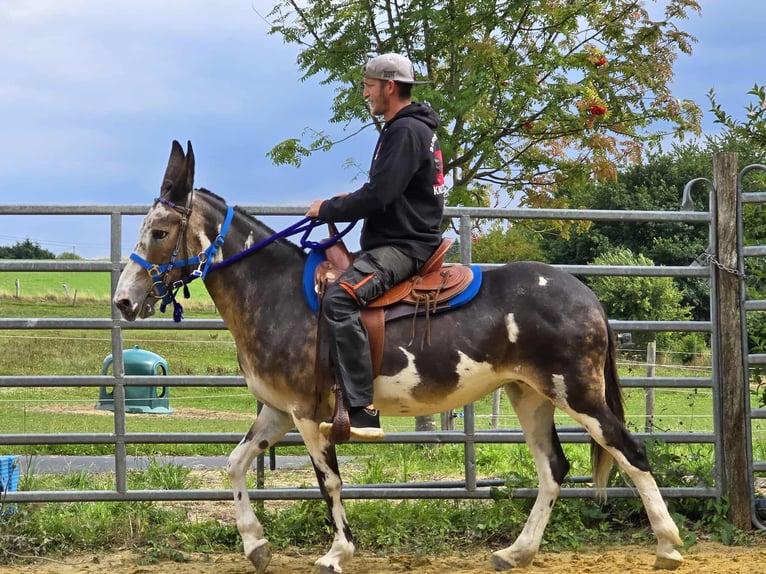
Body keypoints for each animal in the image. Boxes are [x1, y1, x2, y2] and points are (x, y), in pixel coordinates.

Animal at [113, 140, 684, 573]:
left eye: (160, 231)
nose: (123, 301)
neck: (275, 292)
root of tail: (587, 296)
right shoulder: (278, 410)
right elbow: (234, 465)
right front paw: (256, 546)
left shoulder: (309, 415)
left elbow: (329, 481)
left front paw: (337, 553)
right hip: (530, 396)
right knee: (554, 470)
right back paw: (516, 552)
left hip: (579, 393)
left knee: (631, 453)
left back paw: (668, 545)